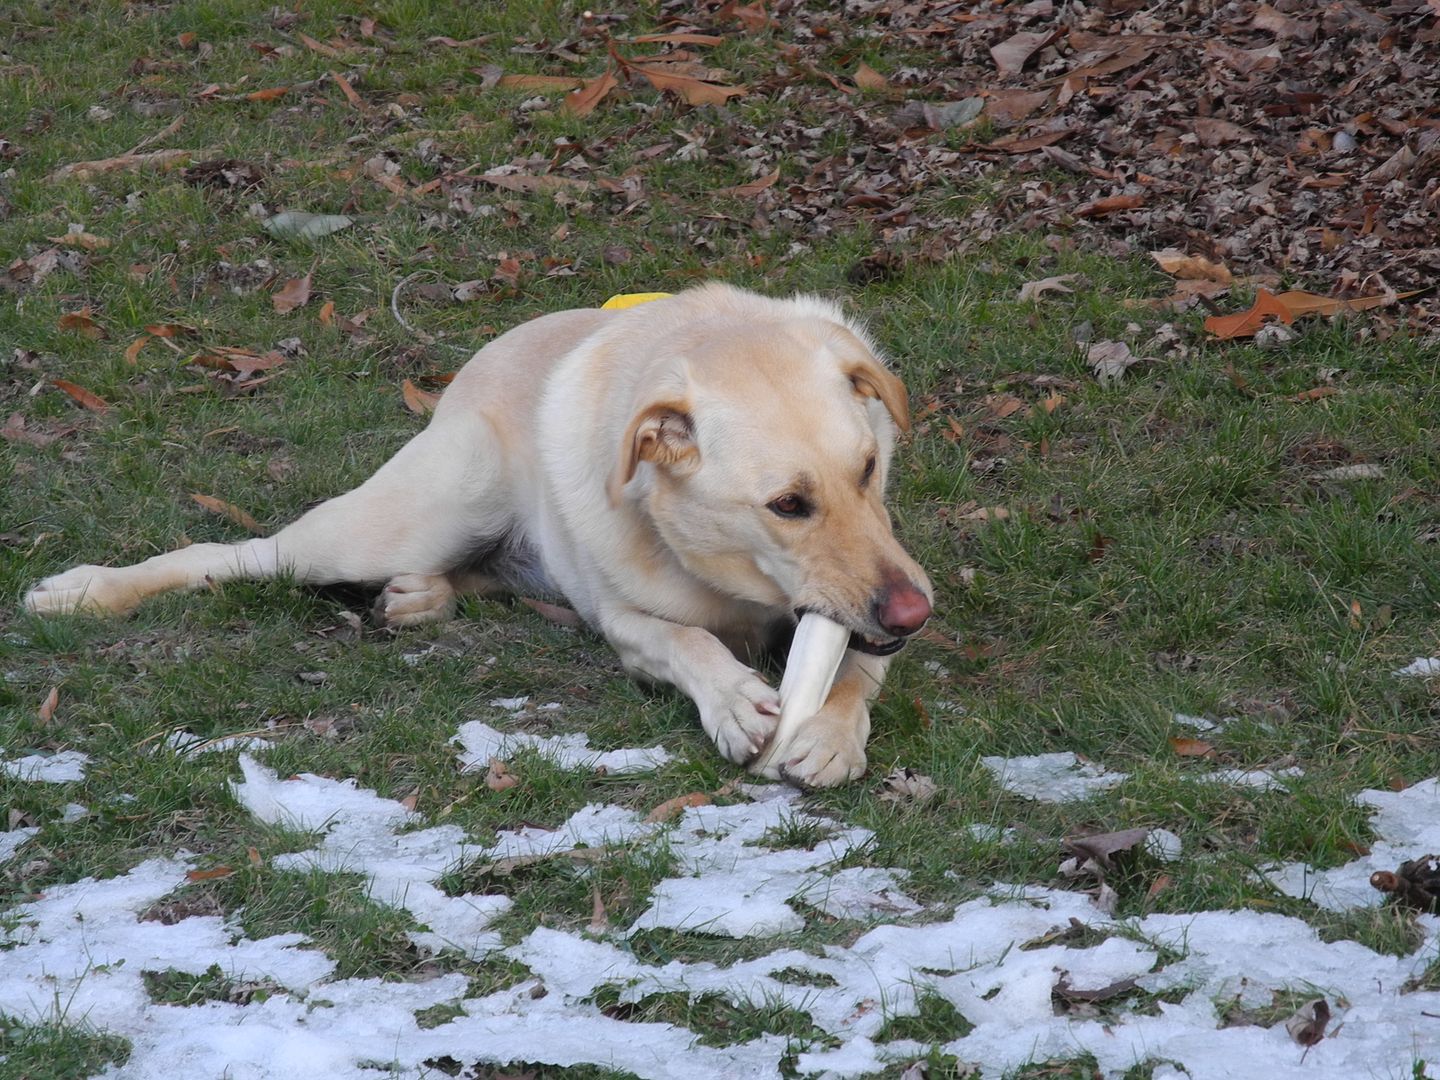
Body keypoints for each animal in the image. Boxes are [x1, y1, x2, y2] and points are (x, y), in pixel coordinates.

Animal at [30, 283, 944, 789]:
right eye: (788, 504)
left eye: (869, 468)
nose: (915, 613)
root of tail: (484, 356)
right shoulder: (625, 623)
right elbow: (684, 640)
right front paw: (733, 702)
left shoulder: (867, 606)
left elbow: (855, 674)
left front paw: (829, 735)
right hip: (386, 524)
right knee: (235, 556)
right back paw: (85, 590)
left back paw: (423, 598)